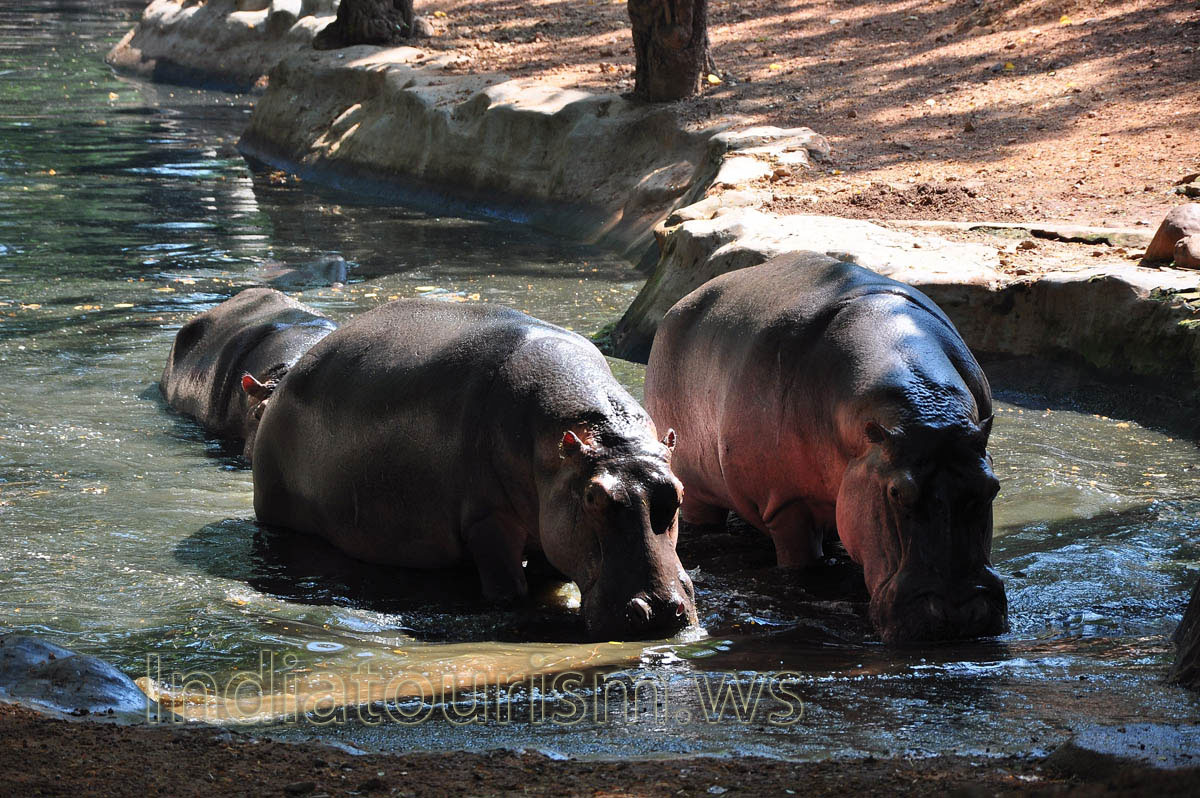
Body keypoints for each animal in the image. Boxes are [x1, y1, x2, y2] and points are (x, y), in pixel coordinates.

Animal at [249, 300, 697, 640]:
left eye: (678, 492)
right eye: (594, 496)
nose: (660, 610)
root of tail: (287, 379)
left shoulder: (550, 525)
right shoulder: (487, 520)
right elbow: (507, 586)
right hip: (280, 513)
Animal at [644, 252, 1007, 643]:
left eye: (993, 487)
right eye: (896, 492)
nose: (958, 613)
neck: (926, 414)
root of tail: (678, 306)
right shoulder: (785, 504)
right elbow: (801, 562)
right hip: (697, 492)